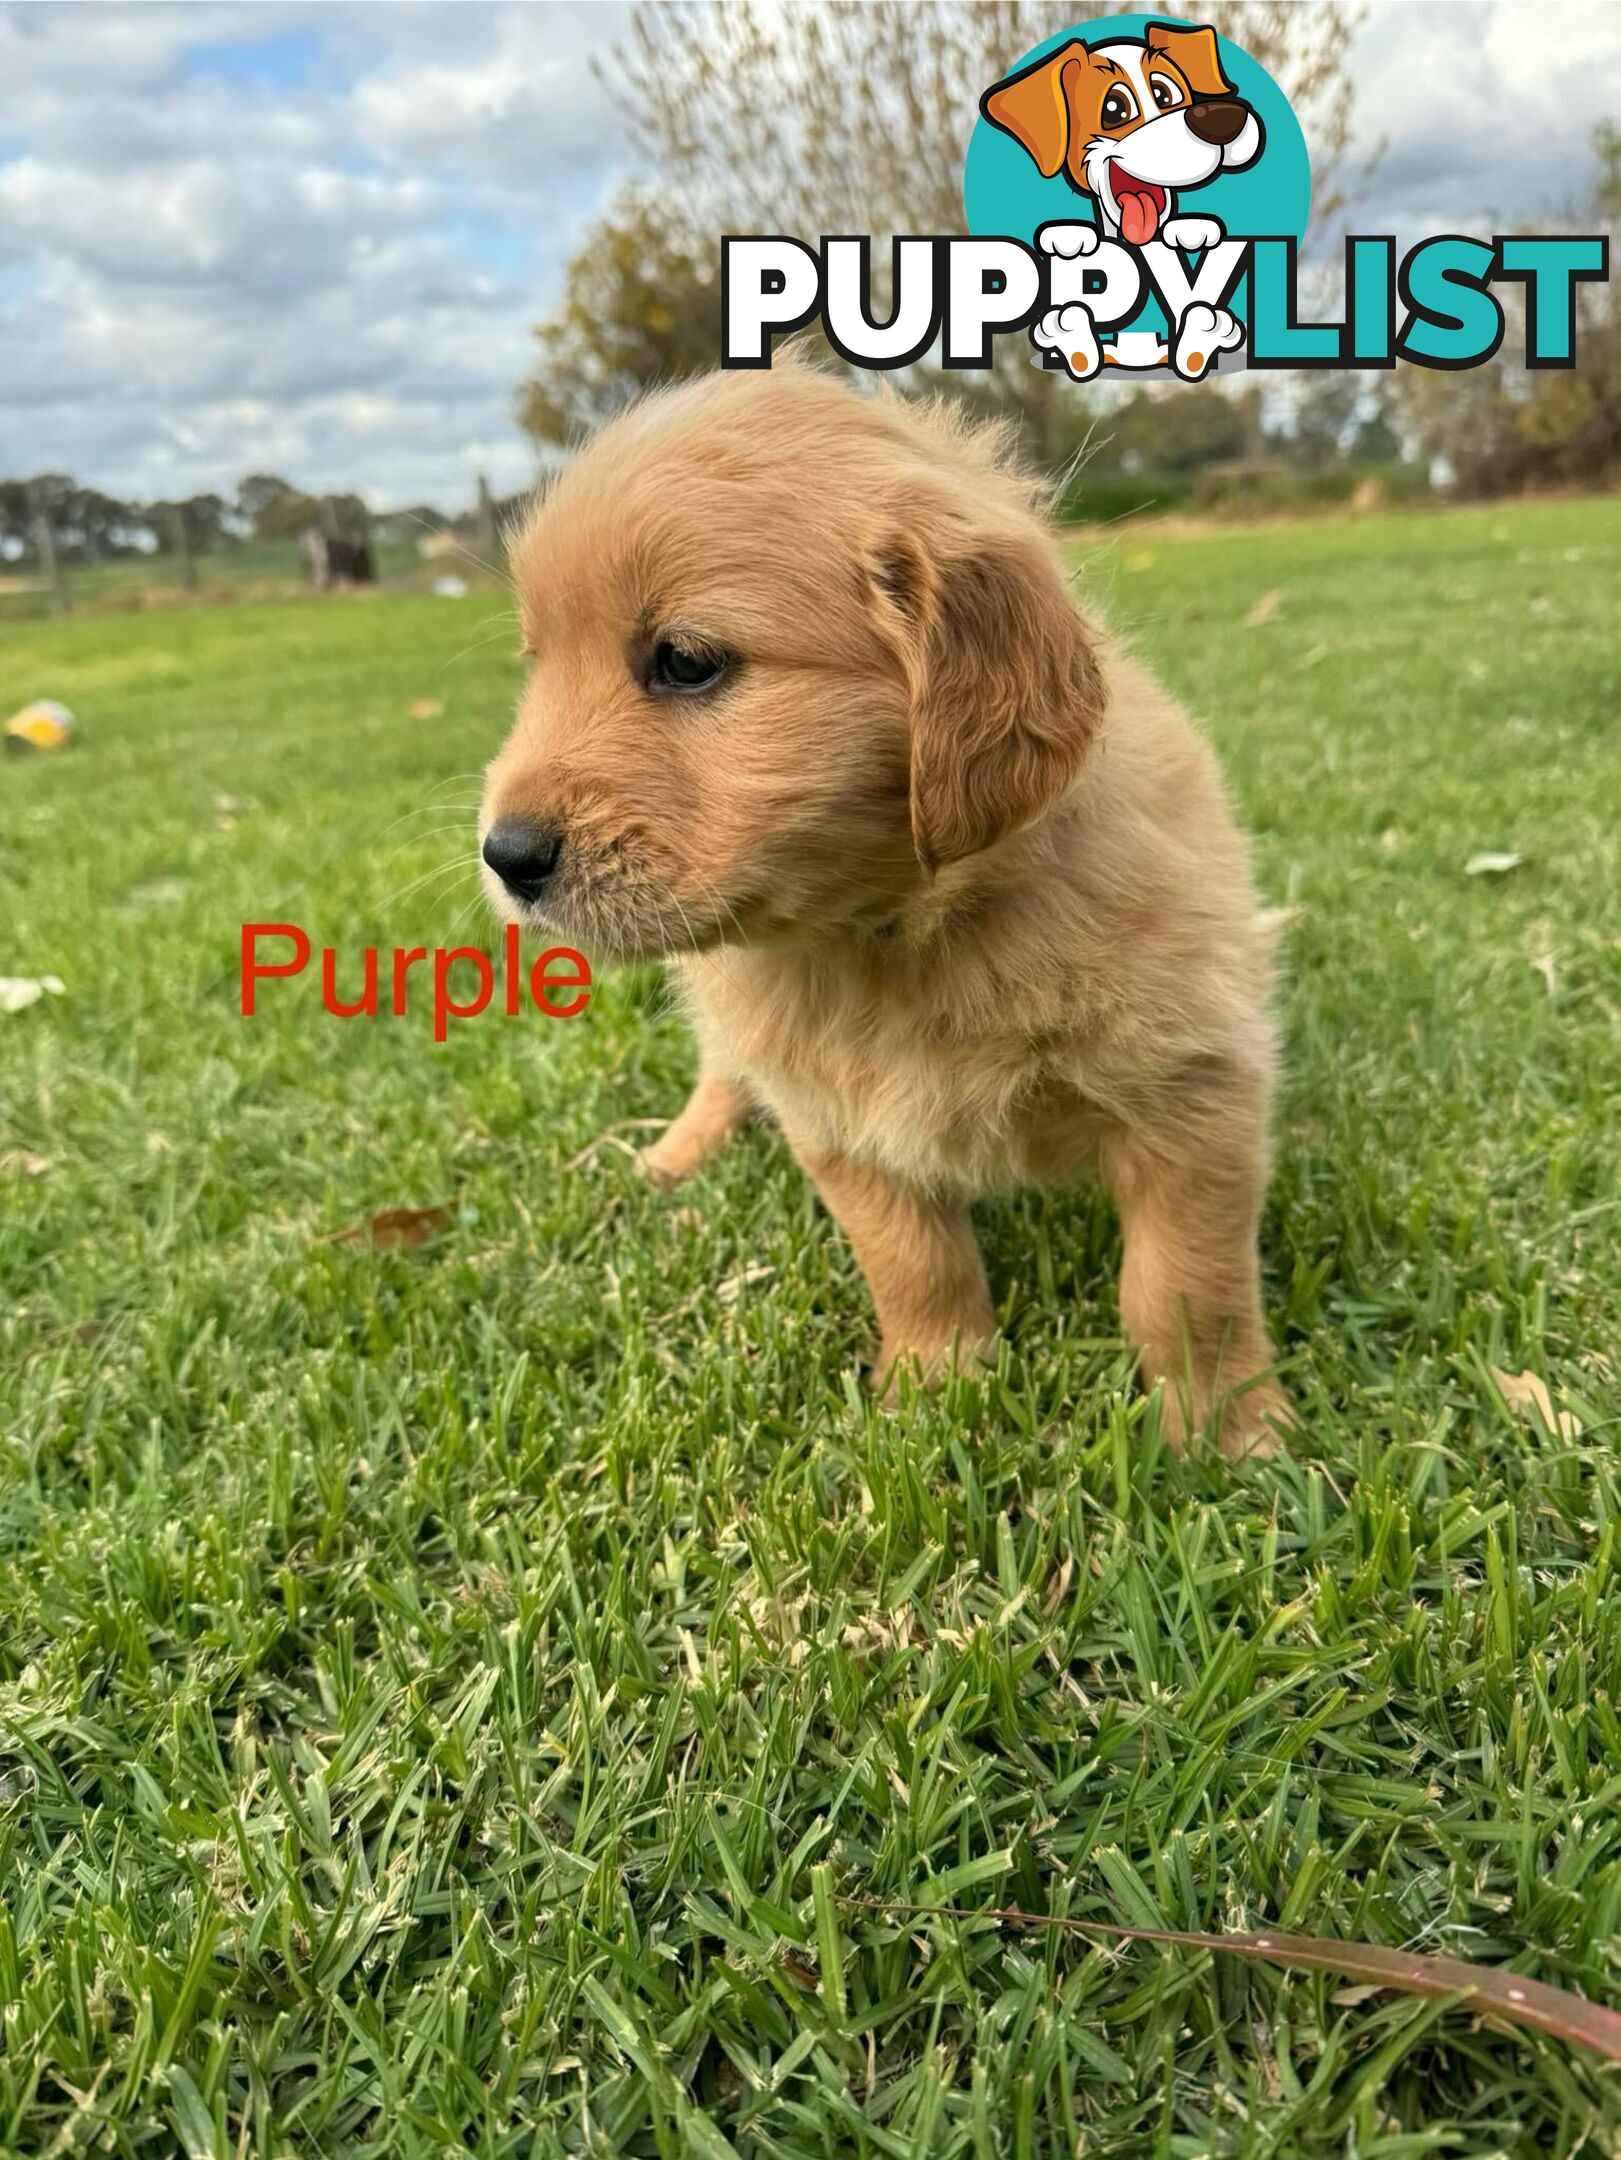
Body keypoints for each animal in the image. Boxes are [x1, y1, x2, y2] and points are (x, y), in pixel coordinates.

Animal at [481, 362, 1296, 1460]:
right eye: (538, 662)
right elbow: (913, 1262)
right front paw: (933, 1391)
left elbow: (1184, 1287)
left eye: (686, 660)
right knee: (720, 1072)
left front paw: (1224, 1429)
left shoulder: (1193, 1091)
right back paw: (674, 1154)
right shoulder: (838, 1123)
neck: (895, 934)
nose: (505, 856)